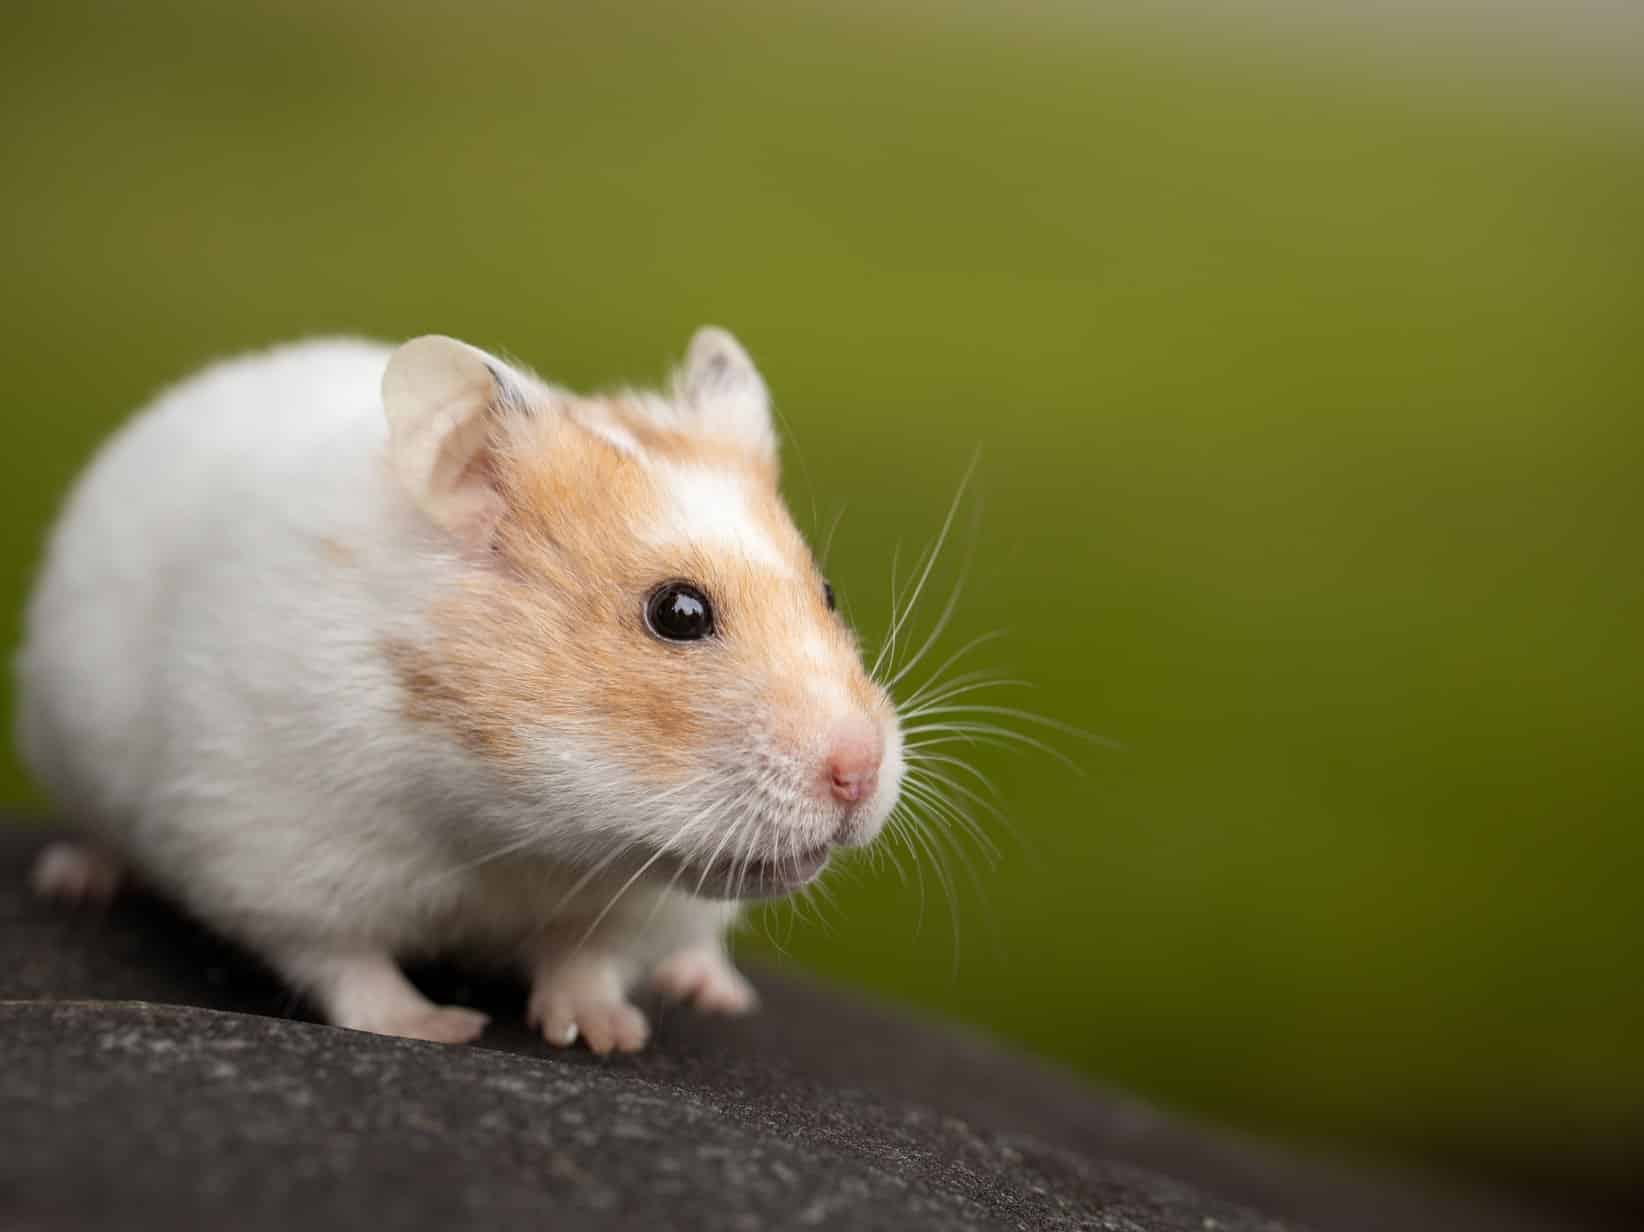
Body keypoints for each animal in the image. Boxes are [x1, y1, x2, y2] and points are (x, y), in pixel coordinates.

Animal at [14, 328, 905, 1052]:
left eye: (828, 593)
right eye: (678, 613)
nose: (859, 774)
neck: (519, 830)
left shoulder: (637, 904)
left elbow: (588, 959)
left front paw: (607, 1035)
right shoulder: (271, 848)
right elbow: (346, 962)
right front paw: (441, 1028)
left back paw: (710, 988)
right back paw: (75, 878)